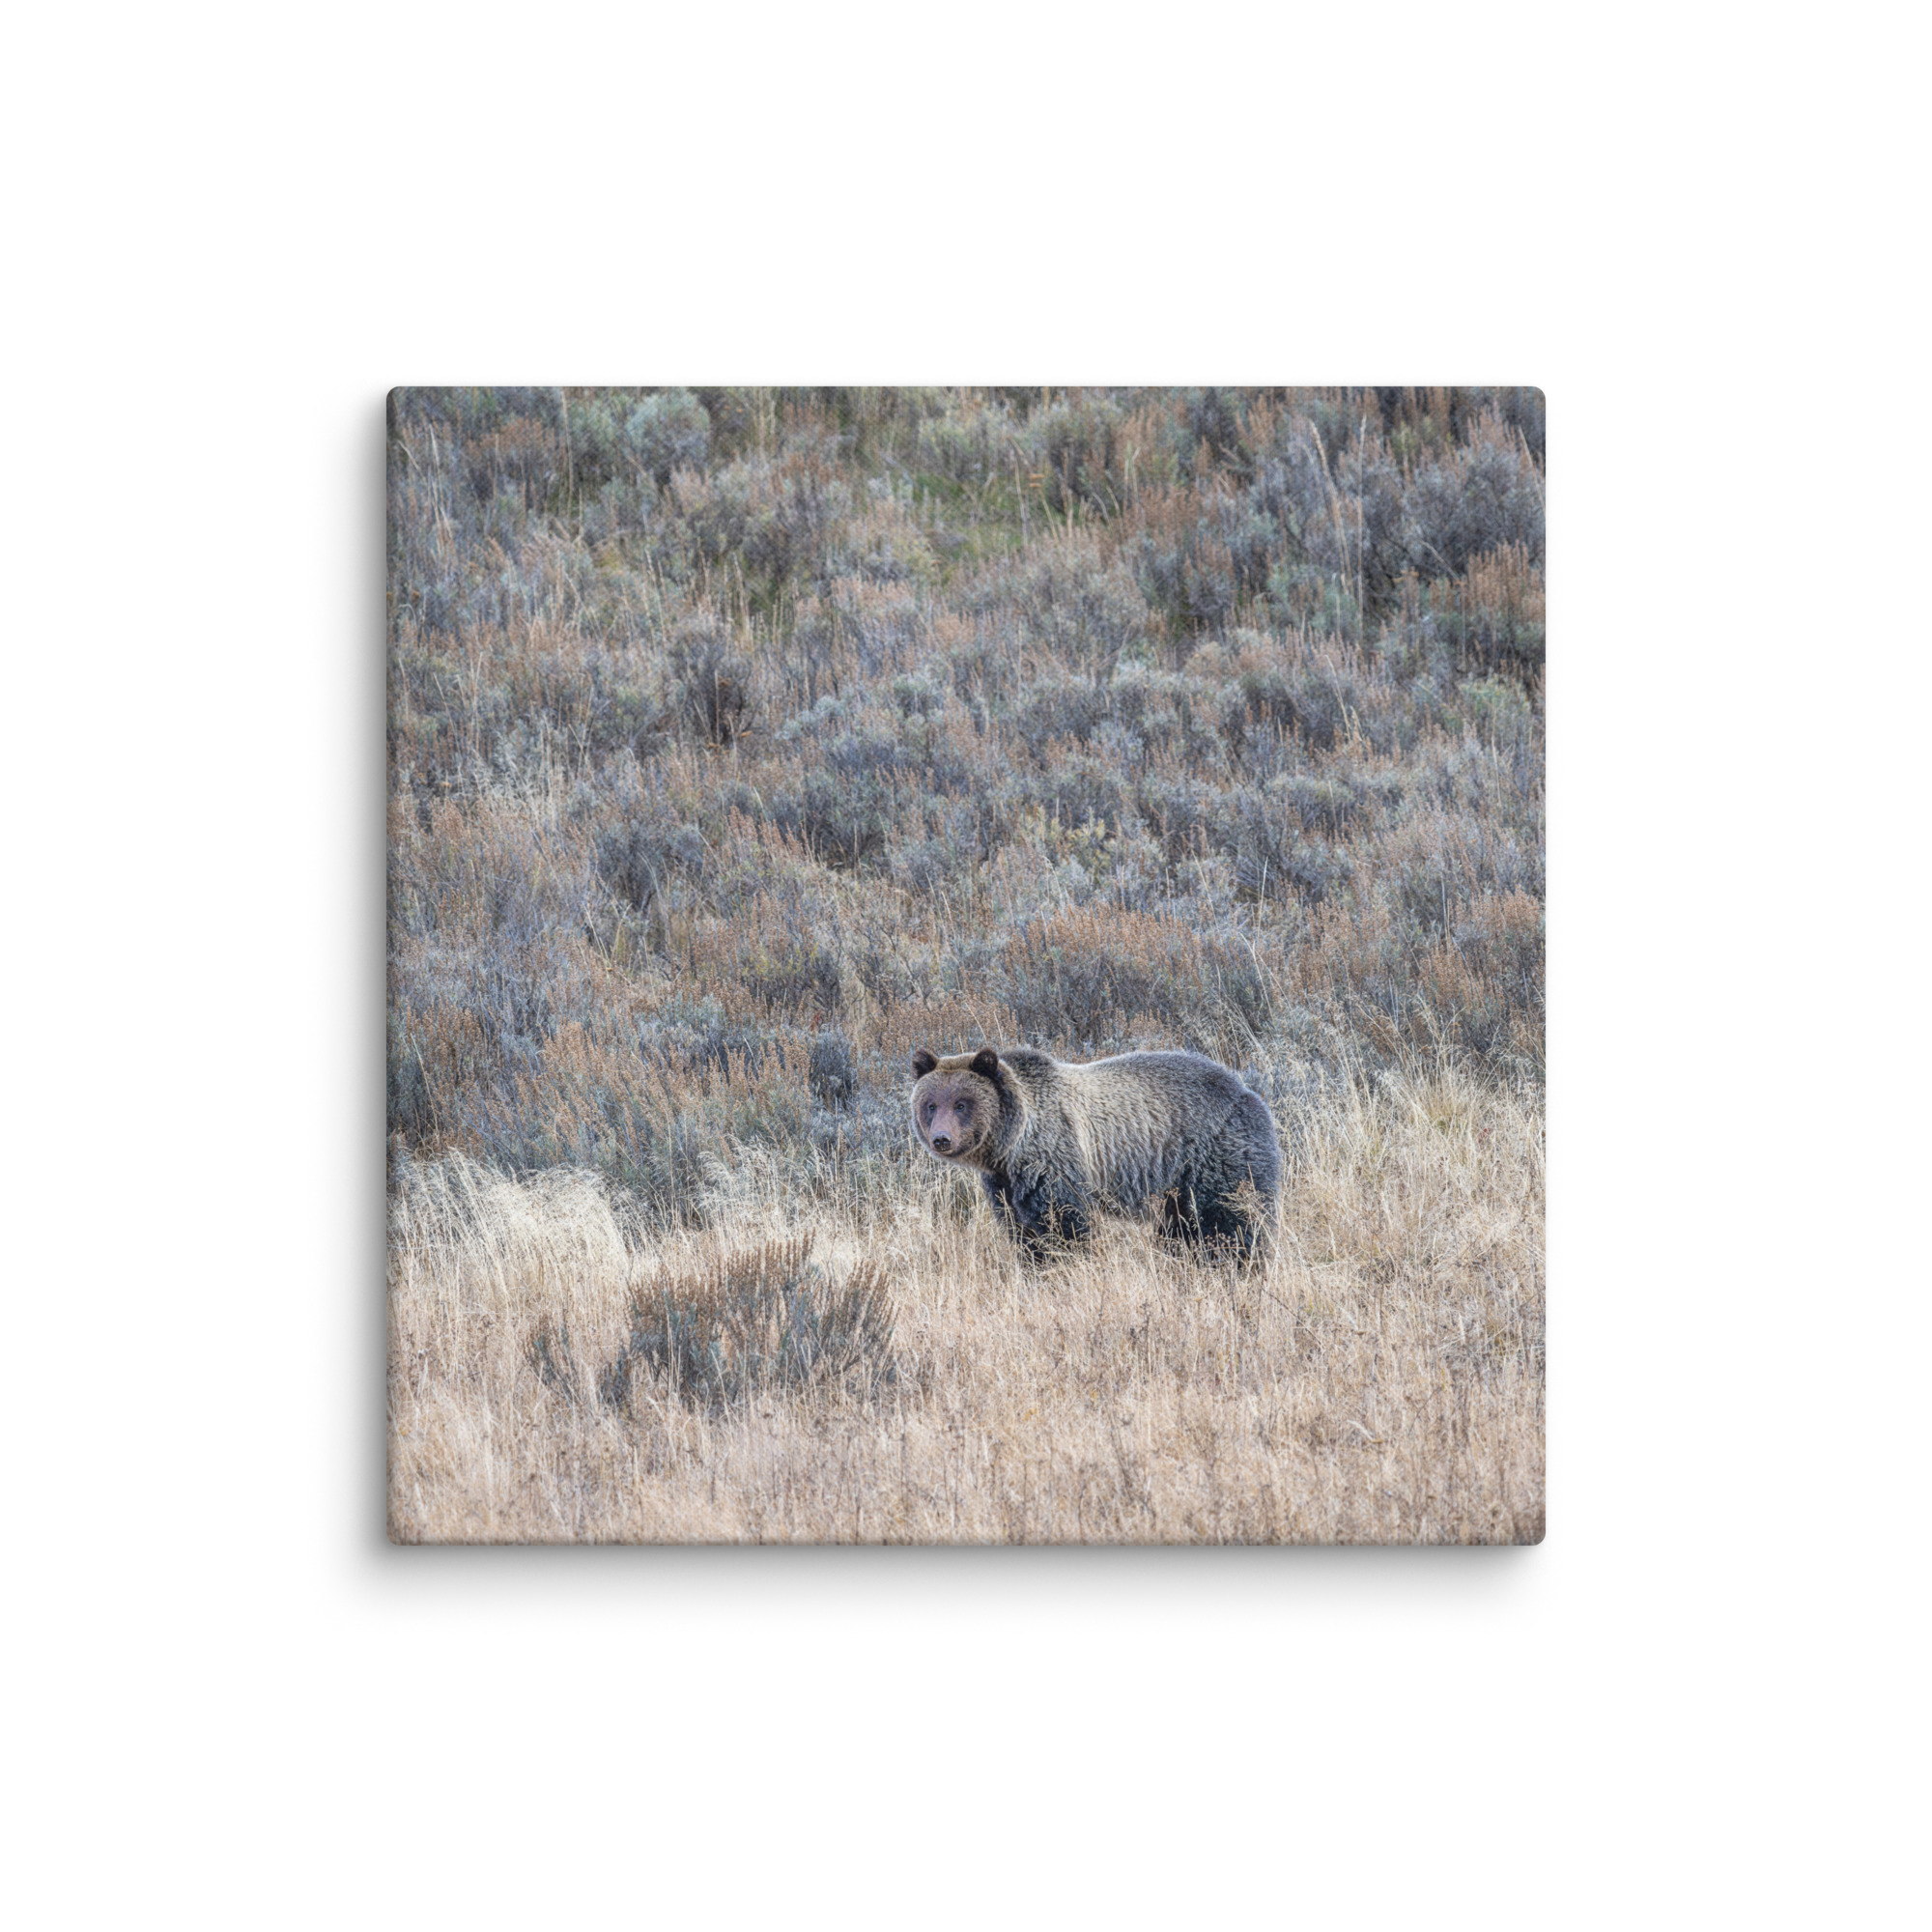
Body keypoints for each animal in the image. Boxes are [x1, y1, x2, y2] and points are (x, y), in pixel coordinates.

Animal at [909, 1044, 1279, 1264]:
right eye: (931, 1104)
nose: (941, 1139)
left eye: (962, 1104)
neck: (1010, 1146)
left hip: (1216, 1154)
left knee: (1231, 1220)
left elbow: (1065, 1226)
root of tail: (1246, 1090)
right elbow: (1022, 1231)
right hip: (1177, 1186)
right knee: (1181, 1229)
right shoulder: (1005, 1185)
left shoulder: (1055, 1160)